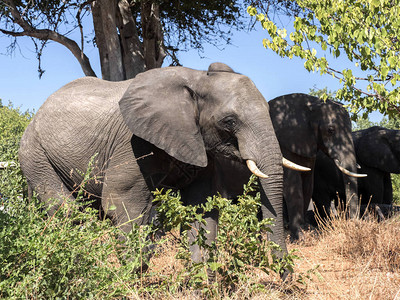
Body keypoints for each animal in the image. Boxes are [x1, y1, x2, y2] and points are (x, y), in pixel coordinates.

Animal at [18, 62, 304, 276]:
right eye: (229, 121)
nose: (285, 278)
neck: (197, 79)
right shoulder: (132, 142)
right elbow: (121, 202)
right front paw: (134, 279)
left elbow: (201, 206)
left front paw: (202, 283)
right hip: (35, 153)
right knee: (67, 210)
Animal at [268, 92, 366, 240]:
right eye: (330, 130)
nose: (354, 223)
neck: (311, 103)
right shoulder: (283, 143)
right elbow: (293, 182)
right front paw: (301, 237)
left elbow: (308, 181)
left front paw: (308, 230)